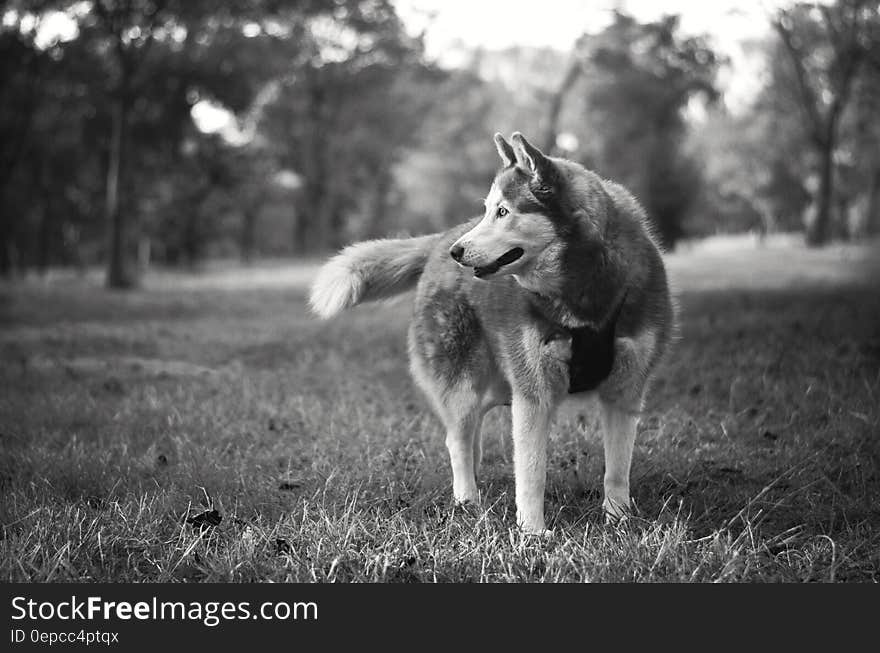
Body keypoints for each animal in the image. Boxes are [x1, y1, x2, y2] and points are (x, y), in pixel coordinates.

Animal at [310, 134, 672, 536]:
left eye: (503, 212)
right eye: (488, 210)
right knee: (457, 438)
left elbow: (617, 468)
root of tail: (442, 239)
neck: (582, 291)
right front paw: (533, 532)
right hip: (464, 383)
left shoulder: (626, 390)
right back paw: (467, 499)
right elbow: (531, 471)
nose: (458, 252)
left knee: (472, 438)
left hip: (497, 385)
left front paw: (619, 519)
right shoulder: (533, 394)